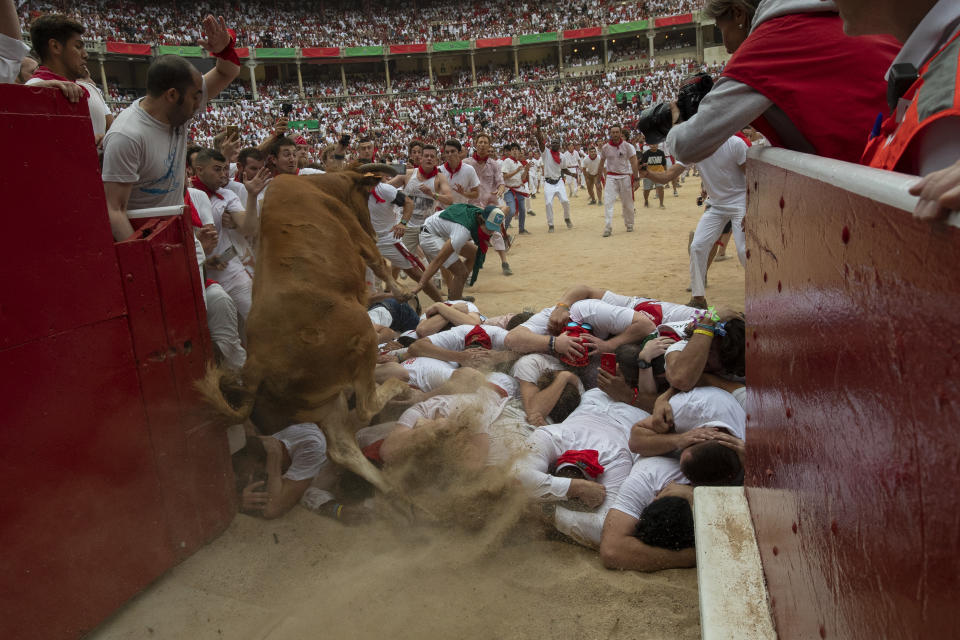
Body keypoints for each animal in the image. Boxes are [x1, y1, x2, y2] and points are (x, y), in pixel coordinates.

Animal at [201, 168, 410, 492]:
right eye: (368, 194)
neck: (322, 185)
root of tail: (256, 366)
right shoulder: (357, 234)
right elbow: (379, 262)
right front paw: (403, 291)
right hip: (361, 334)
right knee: (366, 406)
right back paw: (399, 388)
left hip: (326, 402)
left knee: (342, 448)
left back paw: (393, 489)